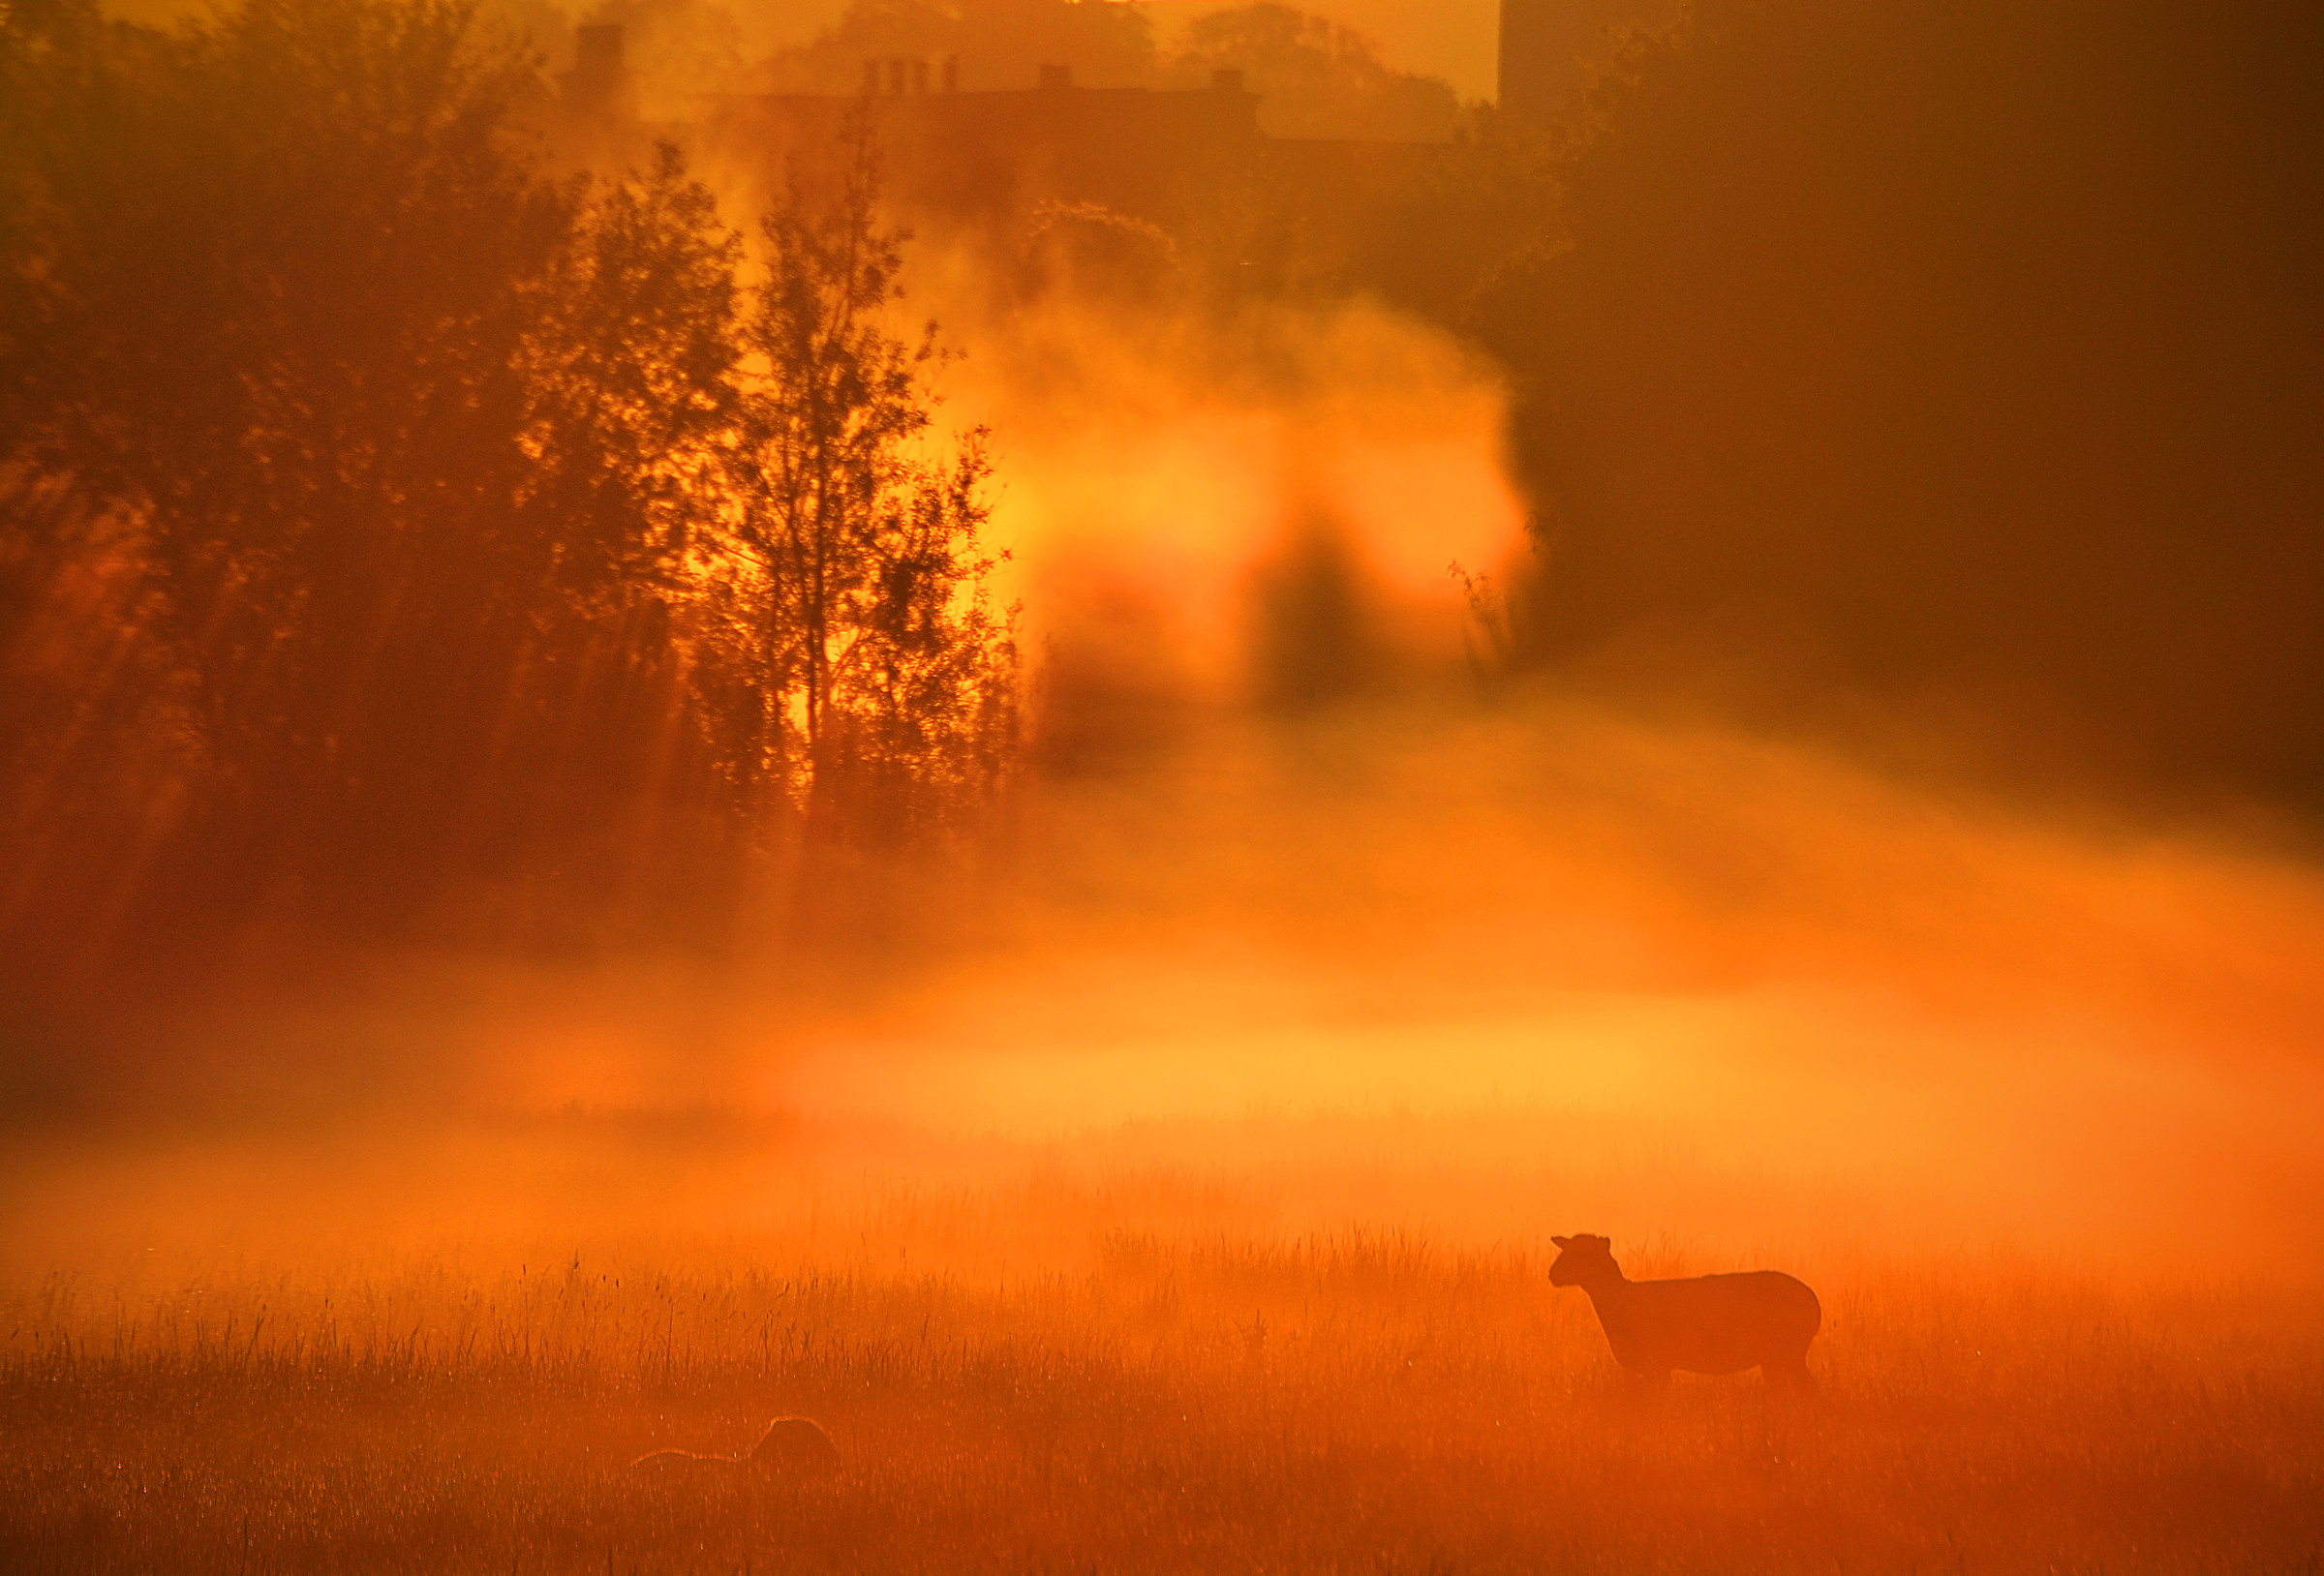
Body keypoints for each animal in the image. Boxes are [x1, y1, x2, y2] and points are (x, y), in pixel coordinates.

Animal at [1548, 1233, 1820, 1389]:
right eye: (1565, 1250)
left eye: (1582, 1253)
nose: (1552, 1274)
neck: (1622, 1299)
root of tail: (1814, 1303)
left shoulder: (1657, 1366)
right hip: (1775, 1358)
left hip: (1791, 1352)